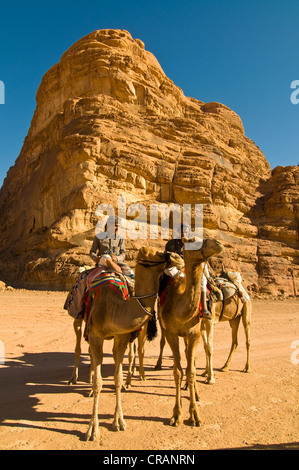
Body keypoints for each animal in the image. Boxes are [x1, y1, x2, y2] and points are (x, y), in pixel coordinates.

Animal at [84, 246, 183, 440]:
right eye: (158, 254)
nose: (178, 257)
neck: (114, 307)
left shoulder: (121, 336)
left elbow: (117, 378)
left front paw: (119, 421)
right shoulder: (96, 336)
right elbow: (99, 382)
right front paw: (92, 428)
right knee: (90, 355)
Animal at [158, 239, 224, 426]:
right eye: (193, 241)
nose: (219, 243)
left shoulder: (194, 333)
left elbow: (191, 370)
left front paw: (194, 414)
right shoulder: (171, 334)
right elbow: (178, 372)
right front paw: (177, 414)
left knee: (194, 358)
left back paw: (197, 390)